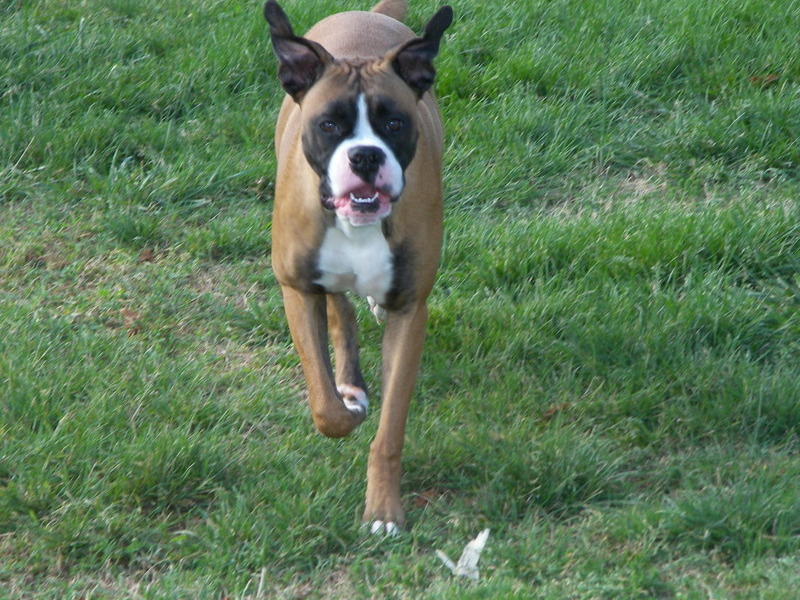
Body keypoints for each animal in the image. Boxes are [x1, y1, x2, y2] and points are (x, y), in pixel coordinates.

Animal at [262, 0, 450, 536]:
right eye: (330, 125)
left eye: (394, 123)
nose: (364, 155)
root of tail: (367, 12)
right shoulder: (297, 289)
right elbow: (324, 407)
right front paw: (347, 401)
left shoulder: (410, 310)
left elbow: (390, 431)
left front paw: (383, 510)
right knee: (338, 309)